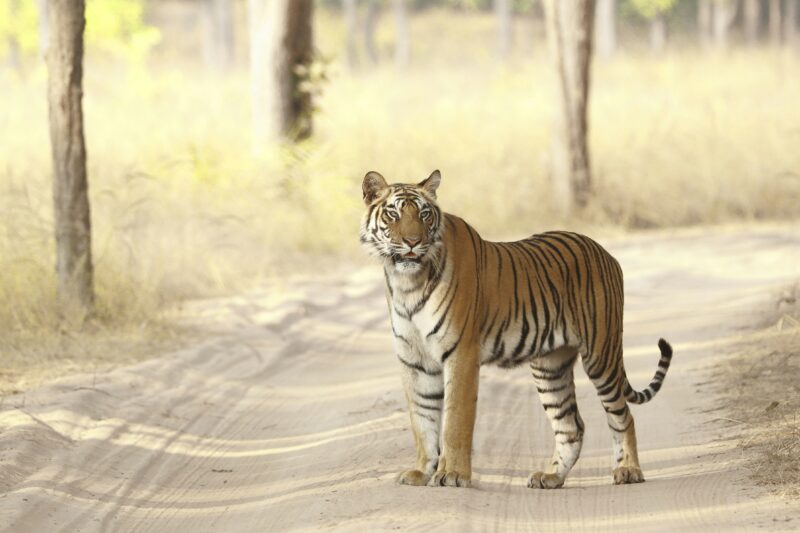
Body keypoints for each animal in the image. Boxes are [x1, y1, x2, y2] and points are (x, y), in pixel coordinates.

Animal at [359, 169, 673, 489]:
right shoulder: (414, 360)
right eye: (393, 214)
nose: (413, 242)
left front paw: (453, 474)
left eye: (424, 214)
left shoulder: (461, 353)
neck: (407, 284)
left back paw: (628, 470)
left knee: (623, 416)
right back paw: (551, 477)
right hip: (551, 367)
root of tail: (604, 251)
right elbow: (422, 421)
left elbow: (455, 420)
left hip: (601, 354)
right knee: (571, 426)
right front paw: (421, 472)